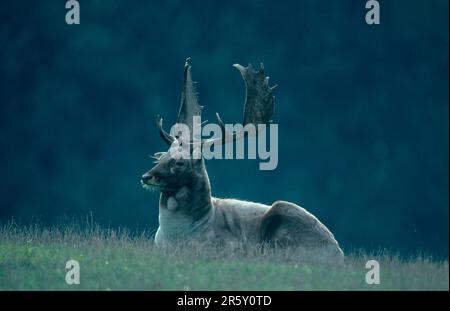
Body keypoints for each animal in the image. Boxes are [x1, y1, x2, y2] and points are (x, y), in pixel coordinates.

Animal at [142, 59, 342, 258]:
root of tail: (338, 251)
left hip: (285, 217)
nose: (146, 177)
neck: (175, 236)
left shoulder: (229, 244)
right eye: (160, 158)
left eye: (179, 162)